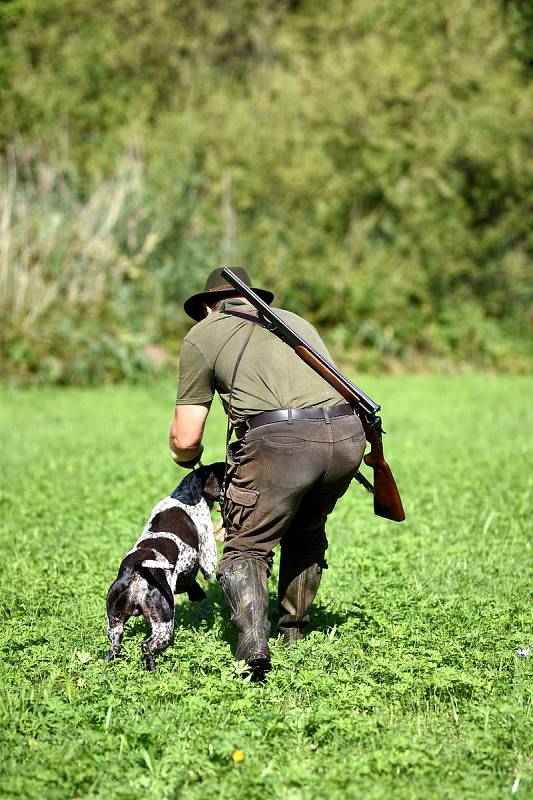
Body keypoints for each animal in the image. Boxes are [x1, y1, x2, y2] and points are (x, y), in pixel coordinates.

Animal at [106, 462, 224, 668]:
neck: (187, 494)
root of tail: (136, 569)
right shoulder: (207, 559)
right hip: (165, 624)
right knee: (147, 646)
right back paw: (154, 670)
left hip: (115, 624)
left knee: (114, 647)